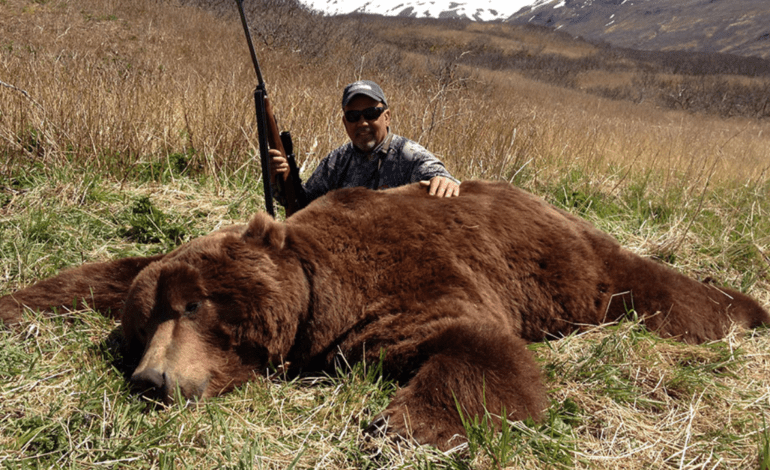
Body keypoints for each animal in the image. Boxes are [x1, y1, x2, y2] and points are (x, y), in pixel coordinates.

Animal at [1, 180, 768, 450]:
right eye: (144, 324)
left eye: (196, 304)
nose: (152, 381)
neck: (317, 287)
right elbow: (100, 273)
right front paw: (15, 304)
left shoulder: (401, 289)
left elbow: (475, 347)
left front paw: (396, 429)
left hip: (579, 273)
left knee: (658, 289)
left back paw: (746, 309)